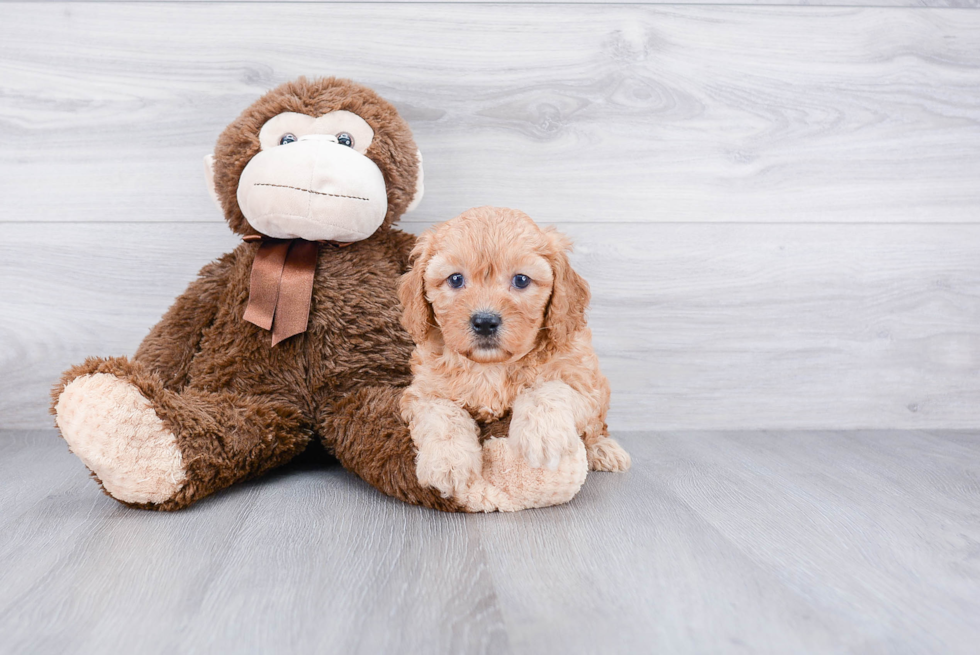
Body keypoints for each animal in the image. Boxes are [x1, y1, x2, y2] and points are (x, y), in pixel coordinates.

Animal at [396, 208, 628, 500]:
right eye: (455, 279)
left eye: (521, 280)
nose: (485, 321)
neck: (491, 366)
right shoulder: (423, 393)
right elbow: (444, 415)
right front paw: (448, 463)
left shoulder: (584, 384)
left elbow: (548, 390)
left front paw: (541, 436)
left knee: (596, 428)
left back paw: (604, 450)